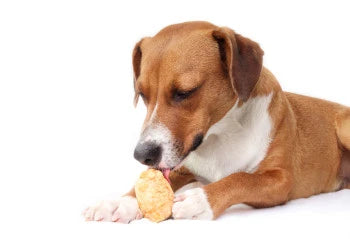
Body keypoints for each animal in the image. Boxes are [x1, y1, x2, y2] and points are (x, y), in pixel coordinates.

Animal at [83, 20, 350, 222]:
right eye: (142, 95)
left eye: (185, 92)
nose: (142, 155)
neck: (221, 135)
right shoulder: (180, 167)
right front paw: (121, 202)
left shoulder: (280, 180)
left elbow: (241, 178)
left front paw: (200, 199)